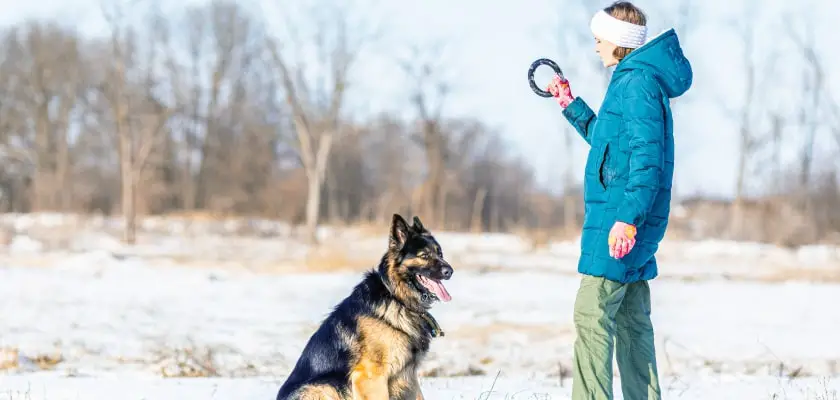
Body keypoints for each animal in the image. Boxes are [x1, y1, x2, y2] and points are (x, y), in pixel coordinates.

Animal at [276, 214, 452, 400]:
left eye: (440, 253)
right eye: (424, 255)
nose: (450, 271)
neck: (396, 298)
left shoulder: (408, 376)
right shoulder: (371, 376)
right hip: (326, 387)